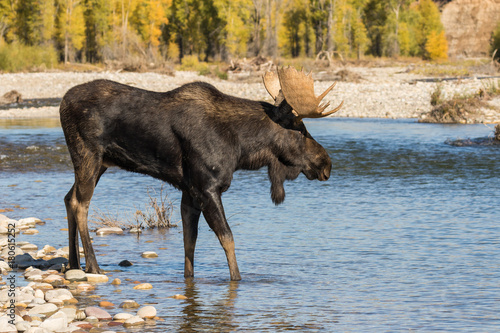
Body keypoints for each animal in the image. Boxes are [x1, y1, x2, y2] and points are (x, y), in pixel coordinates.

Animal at [57, 66, 340, 278]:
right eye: (301, 130)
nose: (326, 163)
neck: (241, 148)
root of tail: (61, 103)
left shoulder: (189, 191)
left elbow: (189, 242)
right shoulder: (208, 187)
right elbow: (227, 237)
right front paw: (237, 279)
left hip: (101, 163)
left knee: (68, 198)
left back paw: (74, 264)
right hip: (88, 155)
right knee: (81, 203)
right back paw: (93, 265)